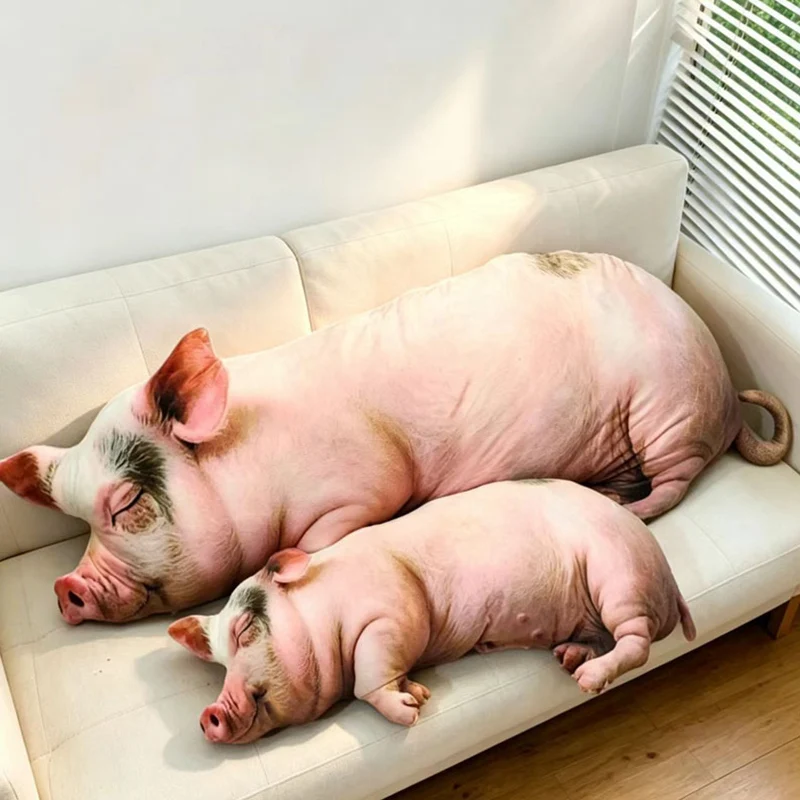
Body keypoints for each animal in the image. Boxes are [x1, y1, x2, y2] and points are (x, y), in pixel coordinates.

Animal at [0, 251, 790, 624]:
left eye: (128, 504)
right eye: (73, 519)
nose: (67, 585)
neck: (254, 463)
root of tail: (727, 391)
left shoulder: (366, 485)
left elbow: (331, 533)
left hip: (670, 411)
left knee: (677, 484)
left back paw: (631, 508)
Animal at [169, 479, 697, 743]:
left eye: (244, 631)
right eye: (218, 663)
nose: (207, 715)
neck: (326, 608)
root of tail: (670, 580)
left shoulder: (393, 610)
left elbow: (369, 678)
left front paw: (410, 712)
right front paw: (418, 694)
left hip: (619, 573)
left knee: (636, 640)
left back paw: (587, 680)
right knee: (603, 637)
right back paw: (568, 658)